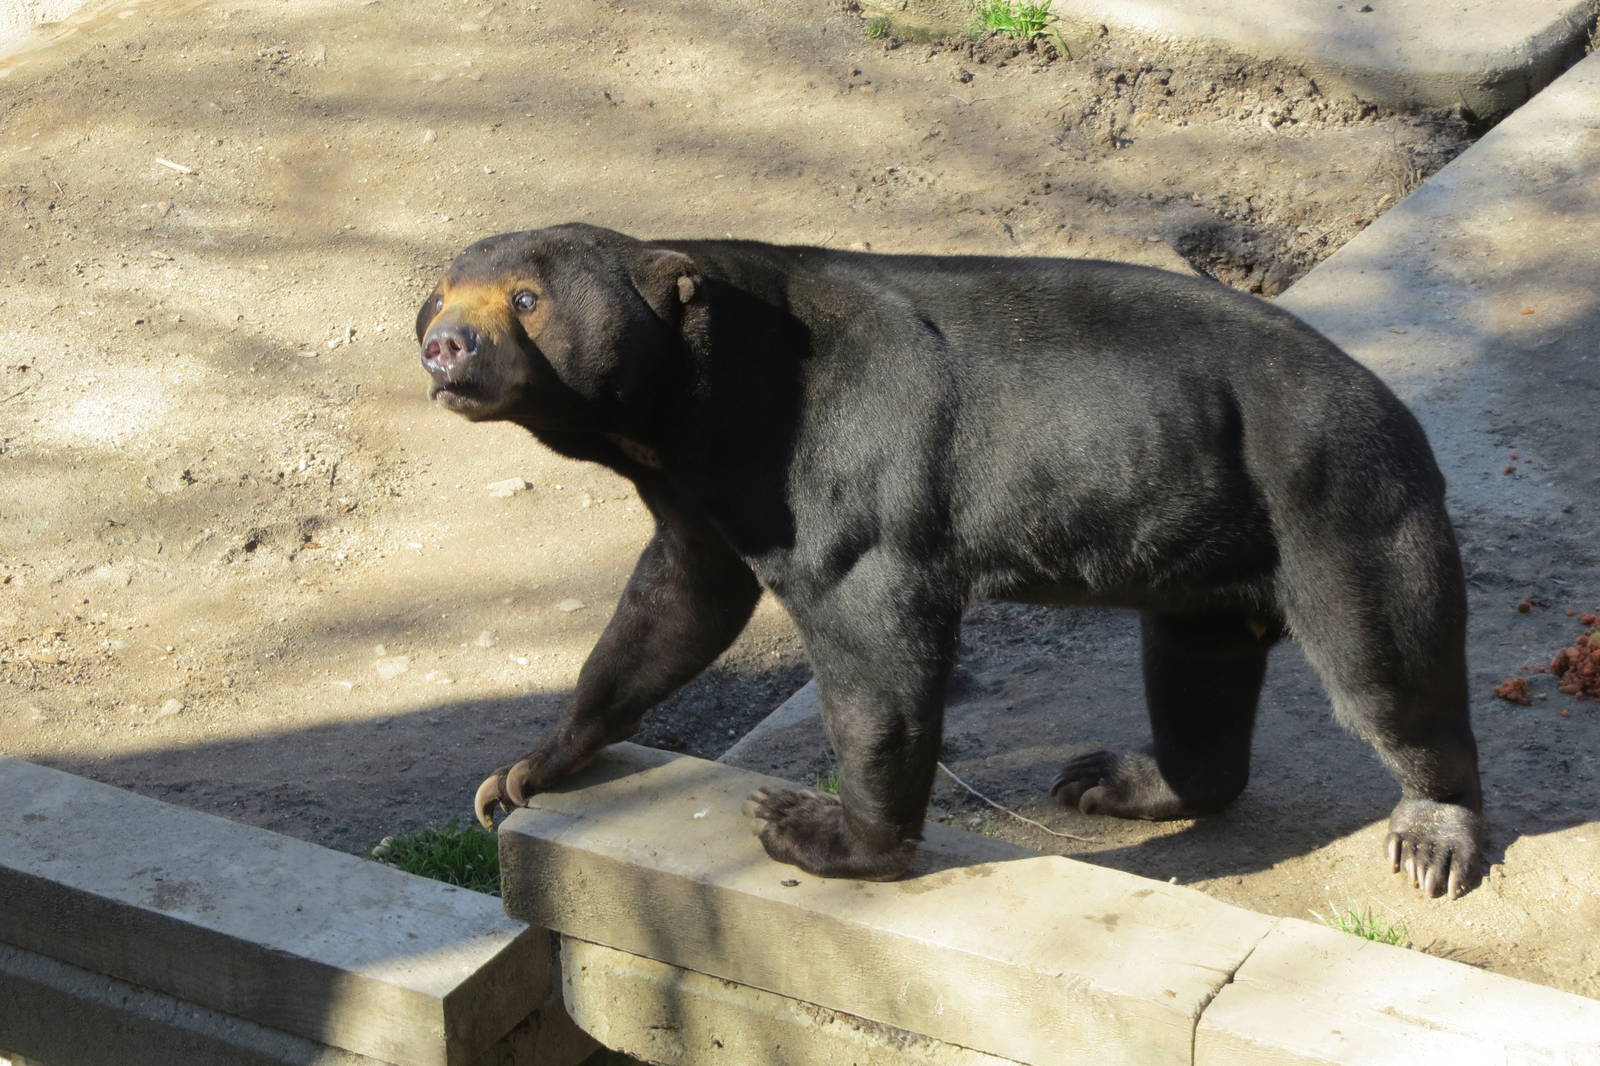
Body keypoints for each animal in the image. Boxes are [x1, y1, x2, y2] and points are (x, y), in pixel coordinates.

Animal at [416, 222, 1486, 899]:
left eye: (527, 301)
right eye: (436, 298)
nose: (444, 349)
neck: (687, 412)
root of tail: (1394, 409)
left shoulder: (836, 469)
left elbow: (872, 649)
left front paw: (815, 831)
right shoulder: (701, 502)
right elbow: (672, 609)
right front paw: (519, 774)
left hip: (1336, 506)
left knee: (1386, 670)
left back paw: (1433, 836)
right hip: (1209, 554)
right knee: (1198, 674)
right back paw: (1116, 780)